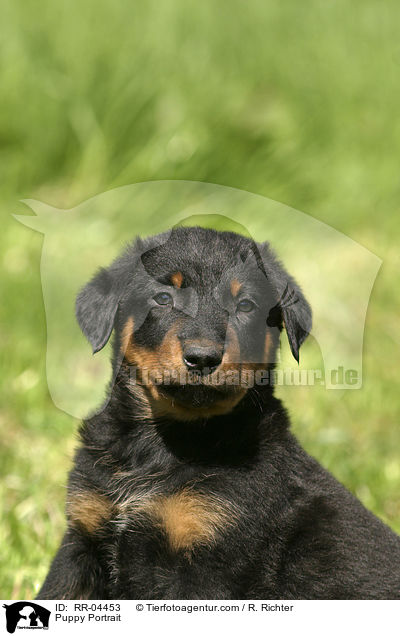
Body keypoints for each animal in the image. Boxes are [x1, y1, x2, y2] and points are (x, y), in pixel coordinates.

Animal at [37, 226, 400, 600]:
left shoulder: (209, 556)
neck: (162, 442)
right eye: (163, 298)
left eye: (245, 305)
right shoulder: (83, 537)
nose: (202, 357)